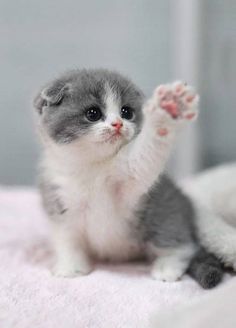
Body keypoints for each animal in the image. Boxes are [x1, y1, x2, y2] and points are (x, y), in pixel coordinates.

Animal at [33, 68, 223, 288]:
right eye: (93, 113)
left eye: (127, 112)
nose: (117, 124)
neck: (93, 167)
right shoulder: (59, 201)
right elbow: (67, 239)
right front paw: (71, 268)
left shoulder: (130, 181)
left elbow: (145, 157)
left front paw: (169, 109)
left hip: (164, 214)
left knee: (182, 244)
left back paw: (167, 267)